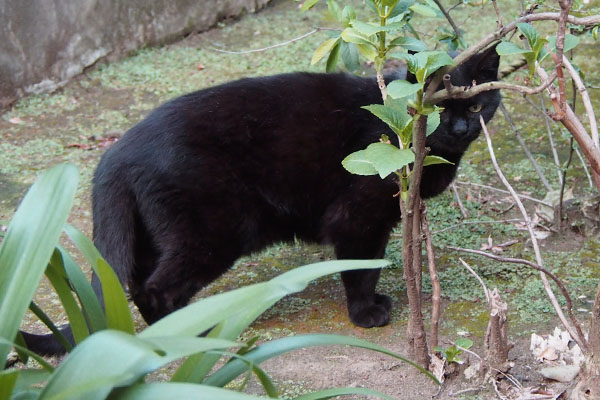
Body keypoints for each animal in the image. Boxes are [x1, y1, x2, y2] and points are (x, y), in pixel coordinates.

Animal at [21, 45, 500, 354]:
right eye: (439, 109)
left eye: (477, 107)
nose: (460, 130)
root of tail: (115, 153)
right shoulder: (357, 218)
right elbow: (361, 269)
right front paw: (366, 313)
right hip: (215, 231)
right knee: (155, 290)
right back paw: (193, 335)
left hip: (152, 235)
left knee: (135, 283)